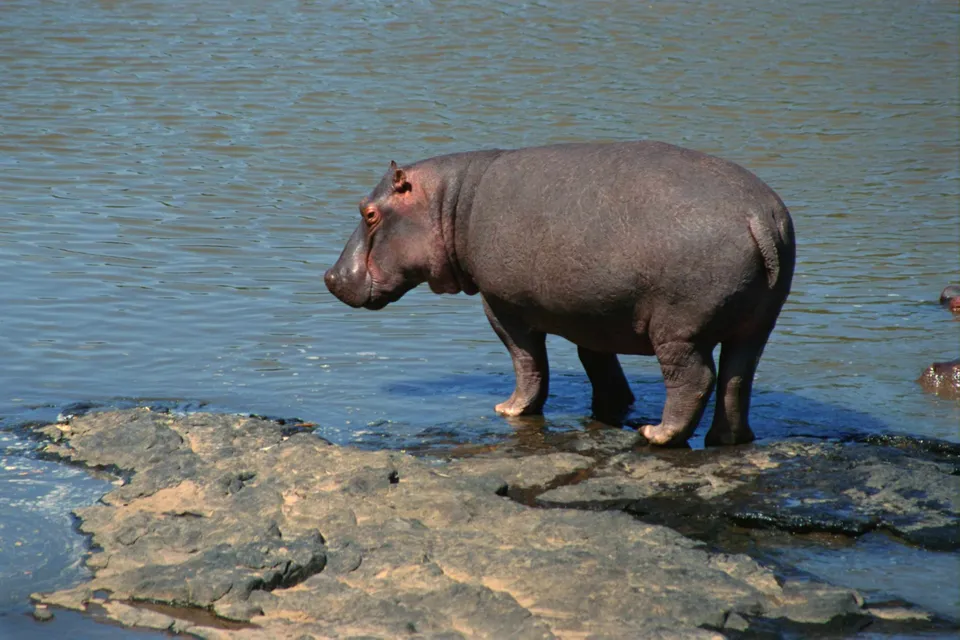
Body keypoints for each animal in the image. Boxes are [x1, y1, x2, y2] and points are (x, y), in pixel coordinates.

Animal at [325, 141, 796, 446]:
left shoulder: (502, 305)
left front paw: (508, 410)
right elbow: (597, 363)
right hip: (756, 326)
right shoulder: (597, 316)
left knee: (694, 379)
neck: (450, 202)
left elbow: (527, 361)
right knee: (738, 379)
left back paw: (656, 435)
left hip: (679, 332)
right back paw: (727, 440)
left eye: (369, 213)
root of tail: (758, 216)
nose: (330, 277)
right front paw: (613, 405)